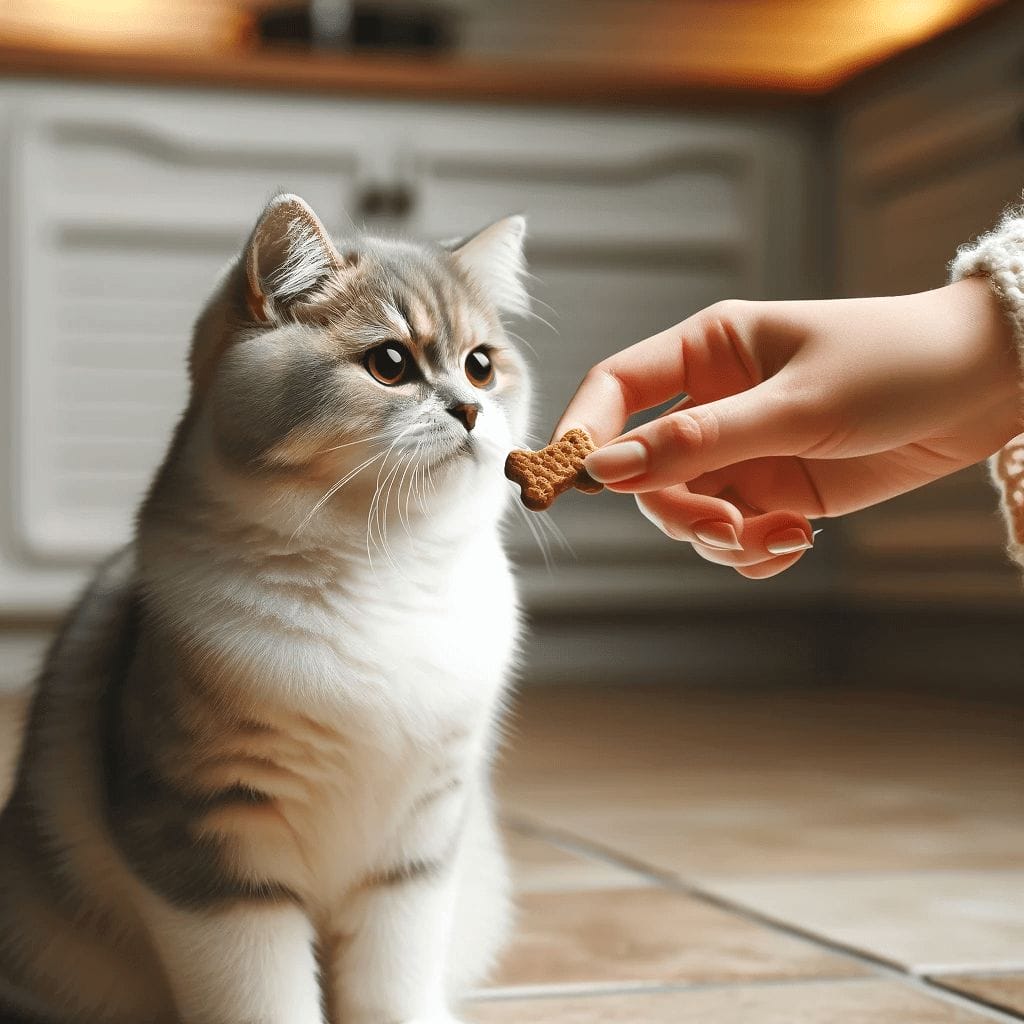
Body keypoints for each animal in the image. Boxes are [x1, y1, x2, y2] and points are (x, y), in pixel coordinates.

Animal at [0, 193, 528, 1024]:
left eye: (481, 364)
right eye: (390, 364)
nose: (470, 409)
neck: (384, 571)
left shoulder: (421, 845)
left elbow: (394, 975)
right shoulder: (207, 846)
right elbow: (261, 991)